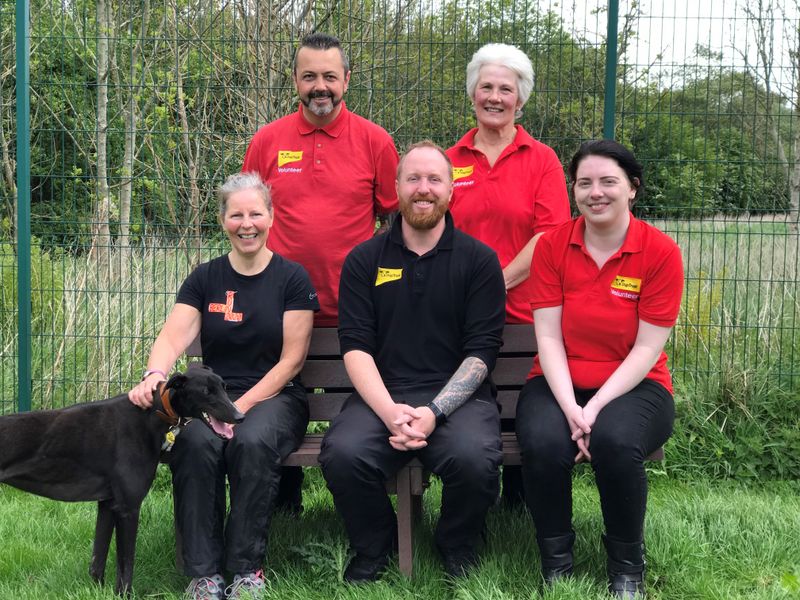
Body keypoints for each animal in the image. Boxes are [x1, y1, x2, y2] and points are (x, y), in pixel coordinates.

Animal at [0, 366, 244, 596]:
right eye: (206, 391)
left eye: (224, 387)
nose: (239, 416)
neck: (151, 414)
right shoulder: (128, 508)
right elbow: (126, 563)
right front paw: (124, 594)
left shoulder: (108, 504)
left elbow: (97, 561)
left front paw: (97, 591)